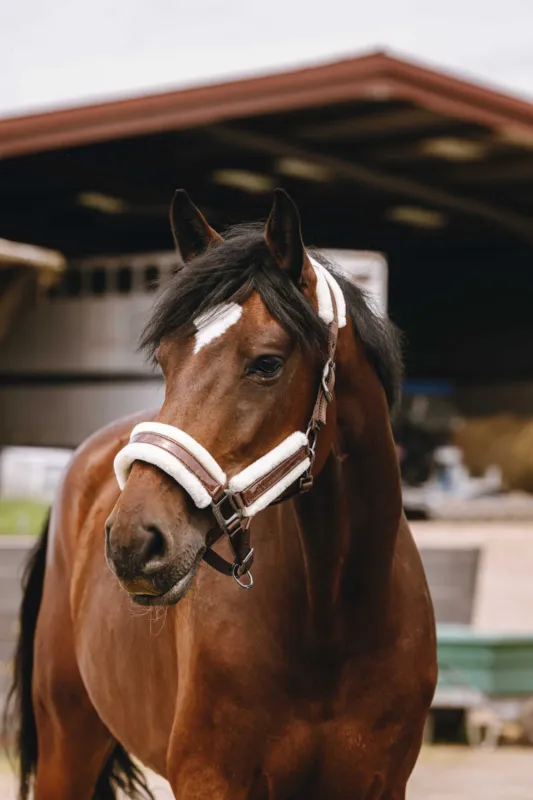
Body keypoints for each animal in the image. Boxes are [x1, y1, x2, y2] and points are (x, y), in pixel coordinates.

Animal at [6, 188, 437, 799]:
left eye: (268, 363)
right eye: (165, 360)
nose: (133, 540)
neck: (334, 621)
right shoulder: (209, 779)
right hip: (67, 743)